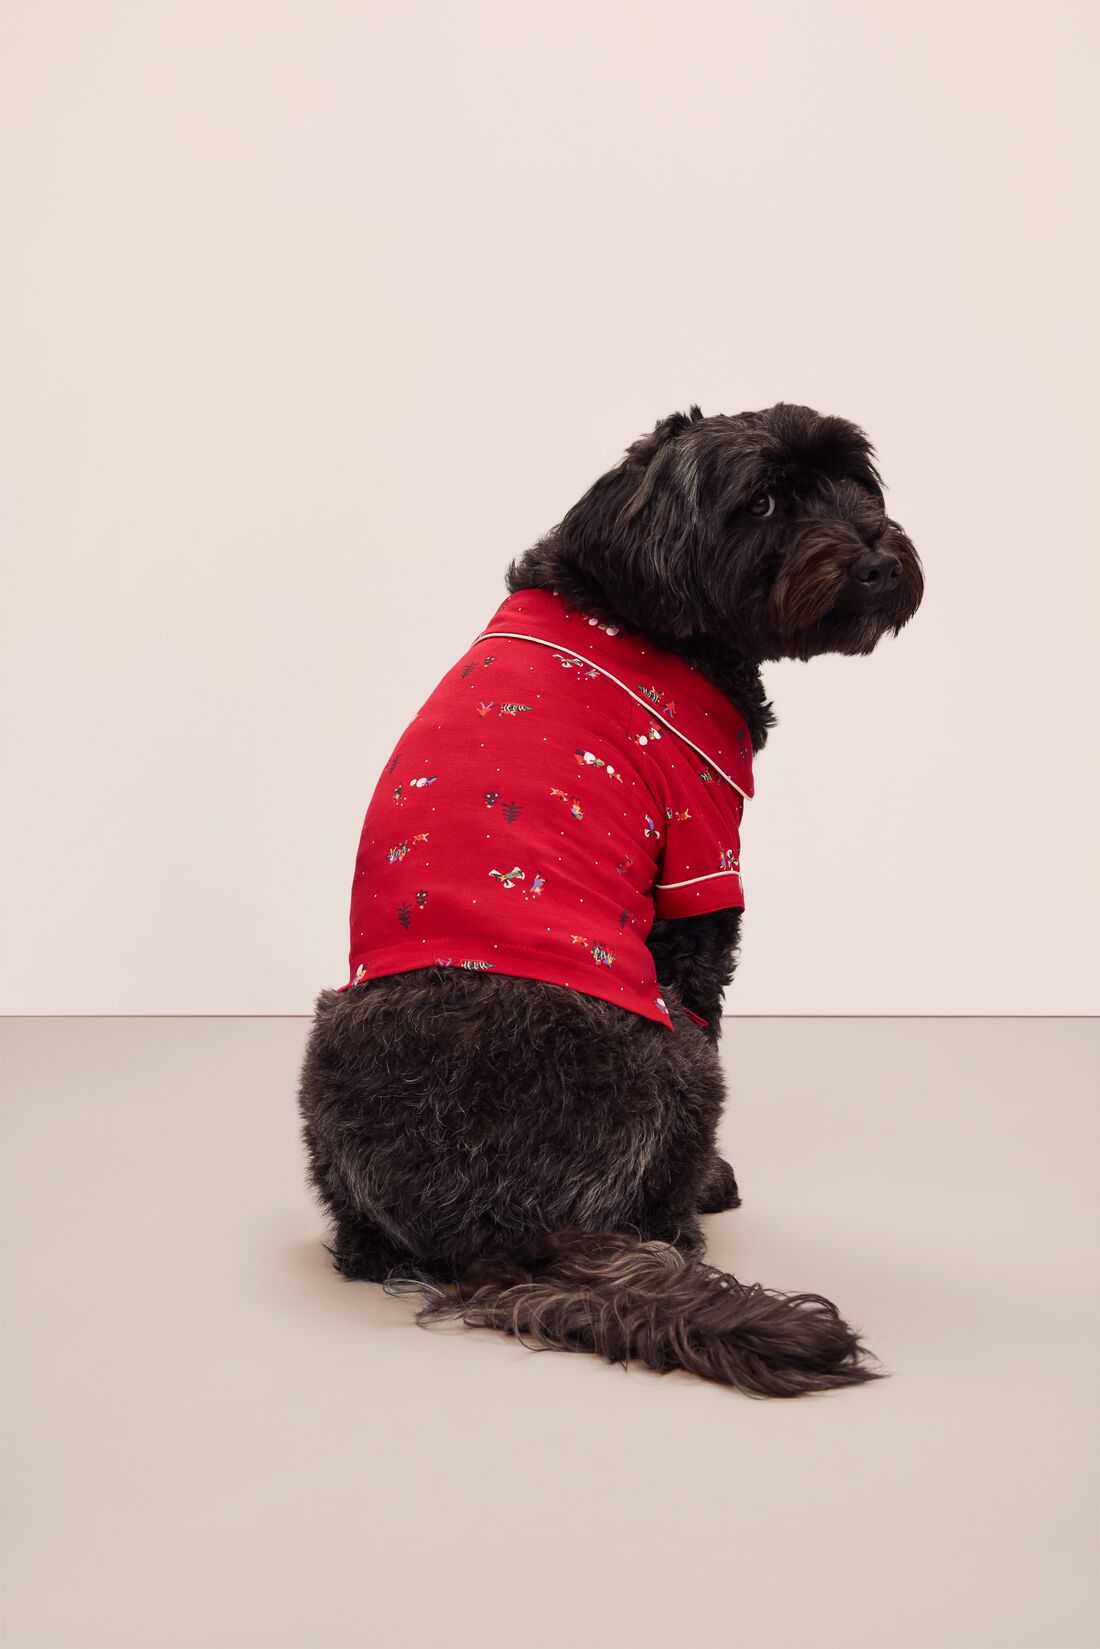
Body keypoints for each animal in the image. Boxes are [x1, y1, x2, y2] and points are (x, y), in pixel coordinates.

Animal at [296, 399, 923, 1391]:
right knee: (669, 1167)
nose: (877, 558)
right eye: (765, 501)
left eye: (854, 482)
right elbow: (708, 983)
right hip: (675, 1062)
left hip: (330, 1039)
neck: (631, 607)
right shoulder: (701, 860)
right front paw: (717, 1180)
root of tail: (500, 1225)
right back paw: (688, 1211)